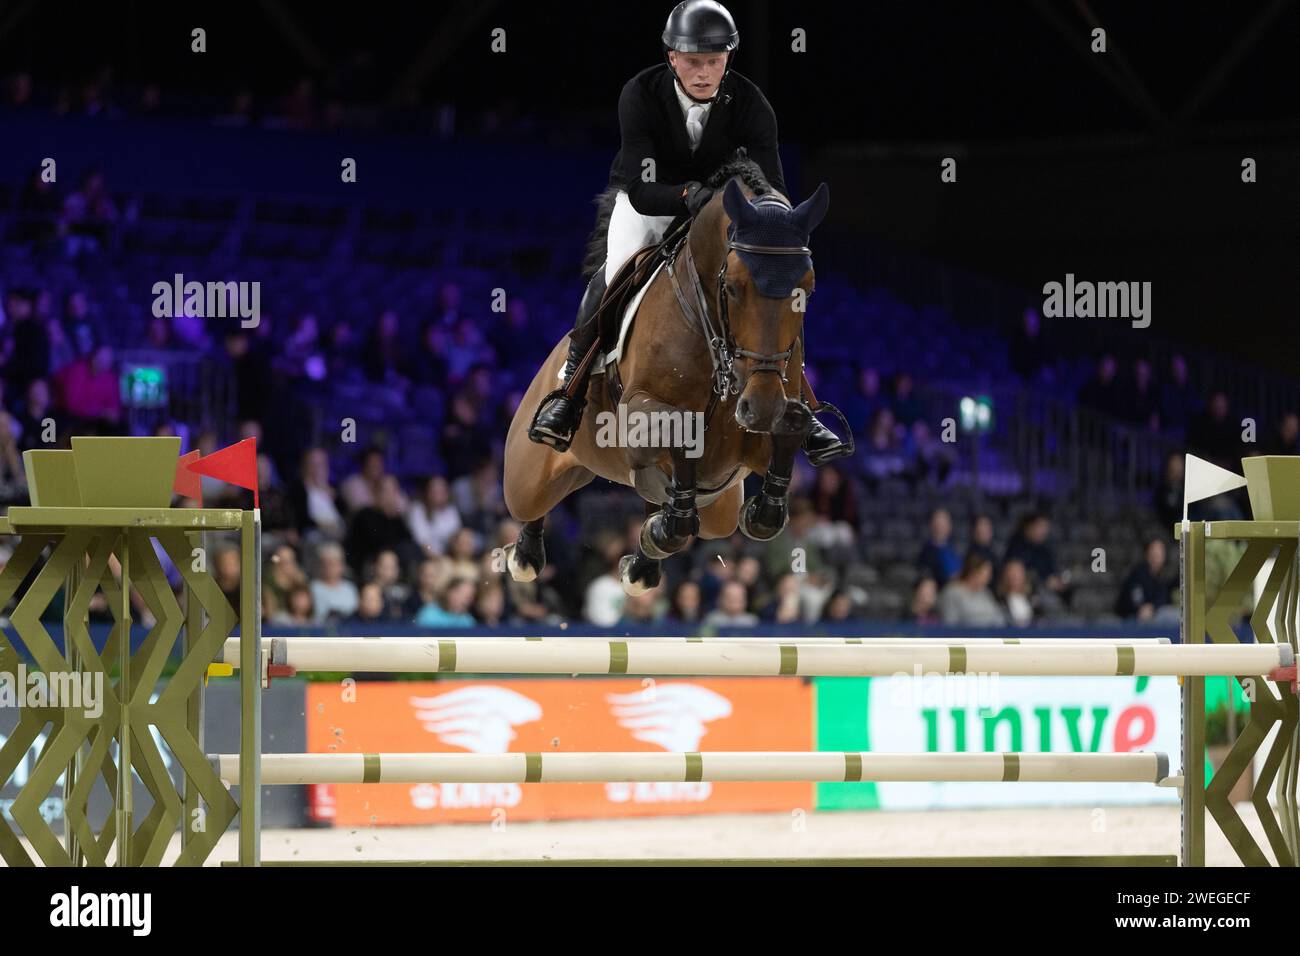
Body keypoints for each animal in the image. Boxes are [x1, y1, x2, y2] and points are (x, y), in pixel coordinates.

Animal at [501, 160, 826, 598]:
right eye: (733, 287)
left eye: (806, 290)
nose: (761, 408)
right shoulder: (635, 417)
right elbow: (677, 428)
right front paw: (663, 527)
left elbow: (790, 434)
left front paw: (759, 508)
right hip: (526, 476)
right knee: (533, 505)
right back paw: (526, 552)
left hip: (718, 509)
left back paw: (642, 564)